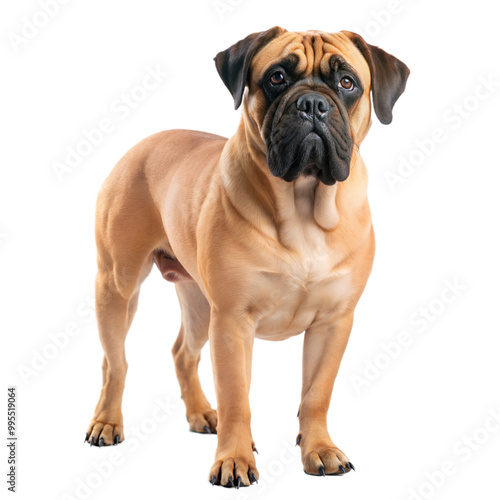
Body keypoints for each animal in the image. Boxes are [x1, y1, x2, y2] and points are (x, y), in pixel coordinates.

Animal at [84, 25, 408, 486]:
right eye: (277, 78)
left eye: (347, 83)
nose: (313, 103)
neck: (304, 207)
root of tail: (145, 143)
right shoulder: (233, 322)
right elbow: (237, 397)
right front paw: (234, 459)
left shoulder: (333, 323)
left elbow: (317, 394)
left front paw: (320, 449)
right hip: (118, 286)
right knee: (115, 363)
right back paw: (107, 422)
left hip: (198, 303)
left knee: (182, 353)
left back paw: (202, 414)